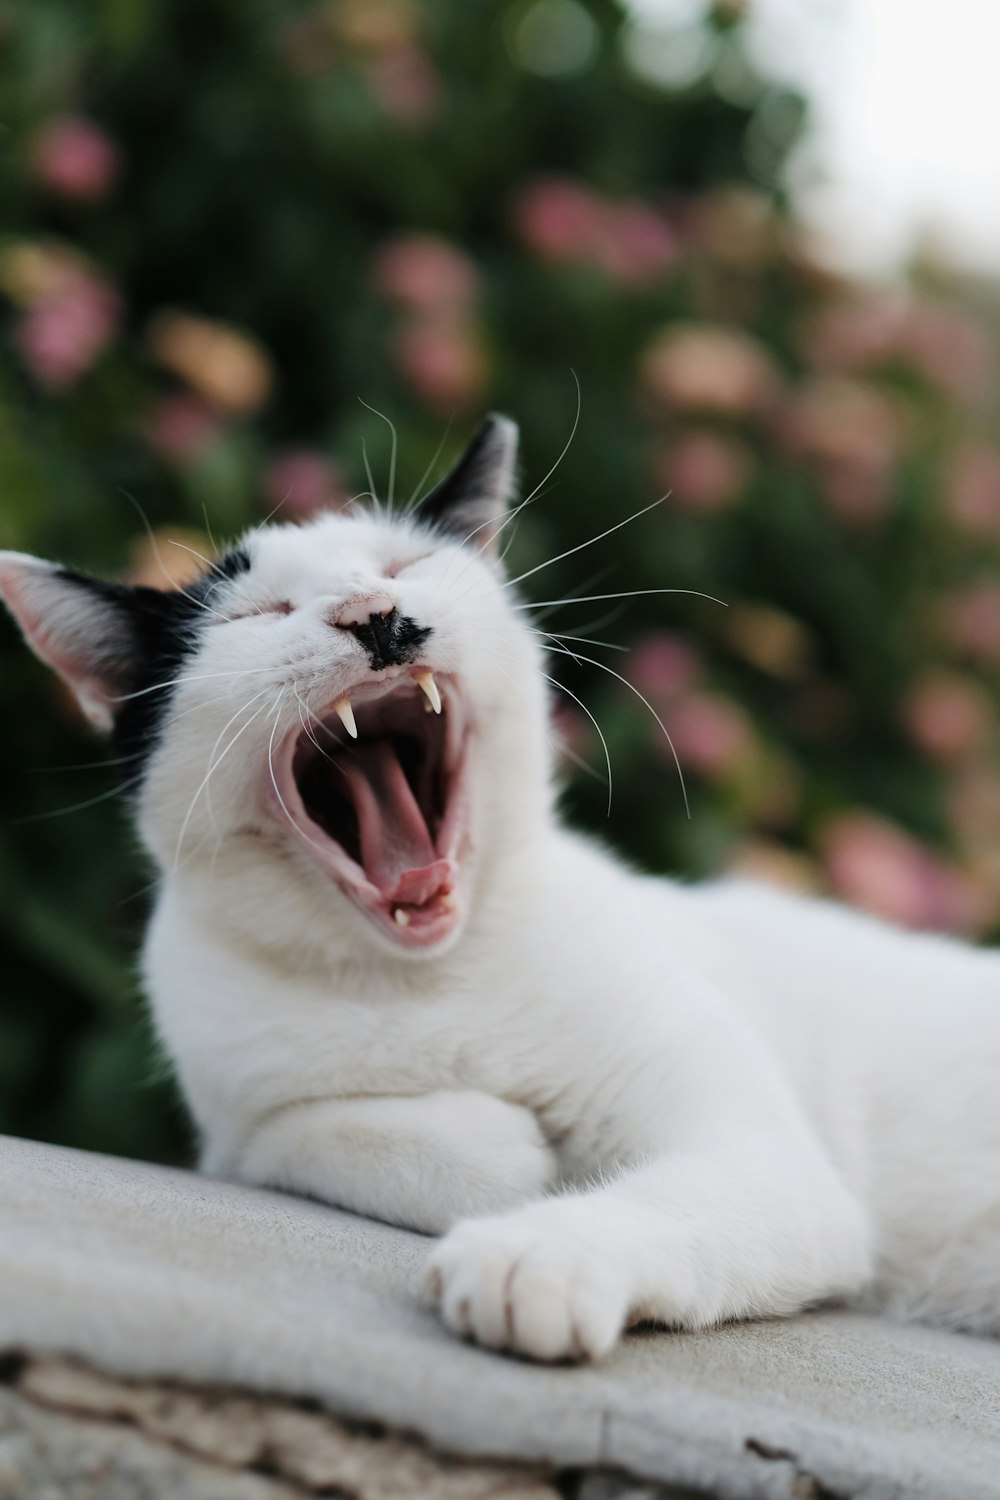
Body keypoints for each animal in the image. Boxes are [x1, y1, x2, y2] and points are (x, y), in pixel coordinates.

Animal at [1, 417, 1000, 1368]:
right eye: (260, 611)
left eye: (403, 567)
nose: (373, 613)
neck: (427, 981)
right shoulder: (235, 1124)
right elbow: (324, 1135)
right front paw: (506, 1151)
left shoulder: (762, 1156)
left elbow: (674, 1191)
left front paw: (539, 1256)